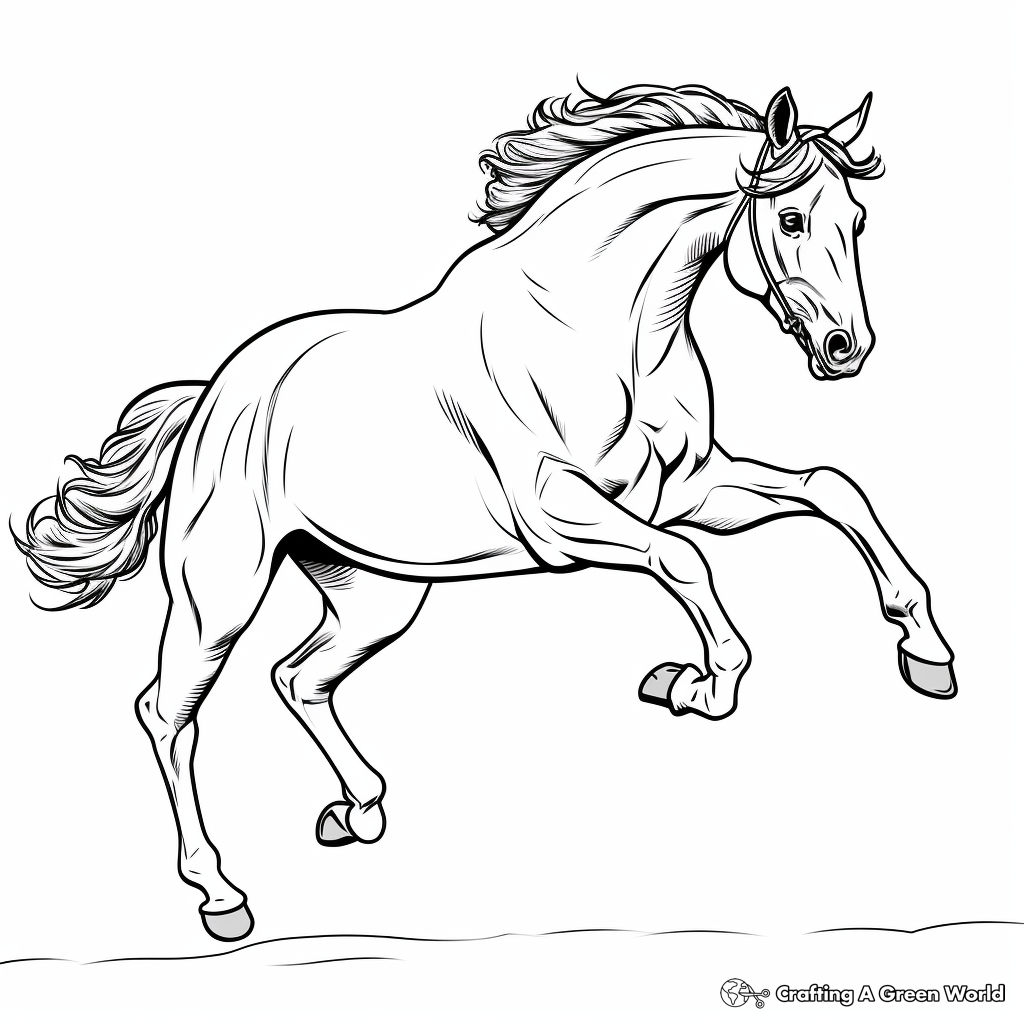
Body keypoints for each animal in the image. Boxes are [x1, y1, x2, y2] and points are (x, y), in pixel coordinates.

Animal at [15, 83, 956, 942]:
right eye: (790, 219)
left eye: (857, 220)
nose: (846, 349)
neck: (603, 332)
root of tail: (214, 395)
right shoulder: (563, 515)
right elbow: (684, 561)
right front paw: (699, 685)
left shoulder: (692, 489)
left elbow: (831, 488)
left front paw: (926, 653)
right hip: (219, 595)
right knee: (168, 713)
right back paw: (222, 896)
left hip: (374, 594)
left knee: (298, 677)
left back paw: (357, 808)